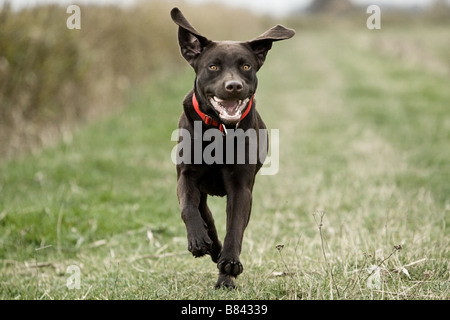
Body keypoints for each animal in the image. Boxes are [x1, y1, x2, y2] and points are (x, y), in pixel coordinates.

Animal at [171, 6, 294, 288]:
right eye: (213, 66)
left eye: (246, 66)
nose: (234, 86)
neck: (220, 130)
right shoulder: (187, 176)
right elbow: (188, 208)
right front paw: (198, 240)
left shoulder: (241, 187)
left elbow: (235, 227)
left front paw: (228, 269)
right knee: (204, 214)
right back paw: (208, 244)